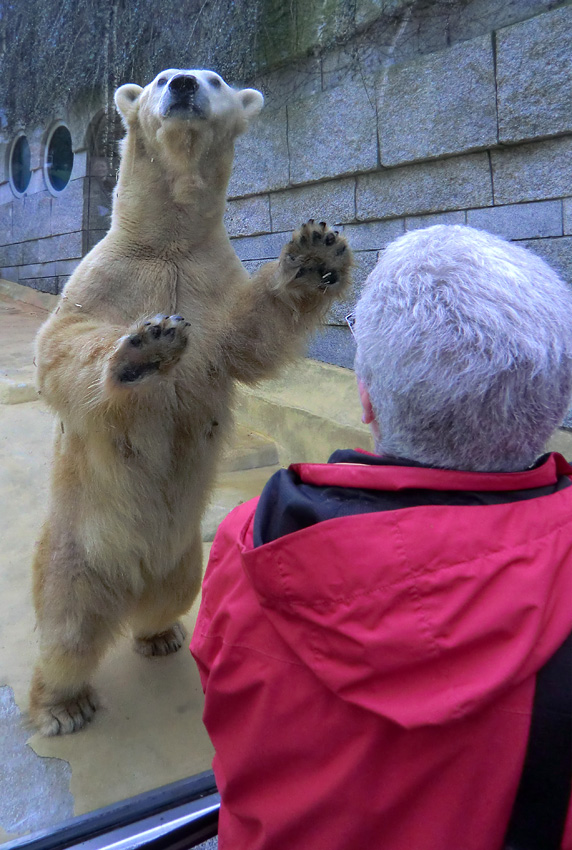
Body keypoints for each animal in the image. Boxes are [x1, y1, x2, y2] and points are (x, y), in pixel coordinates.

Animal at [30, 69, 354, 732]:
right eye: (157, 79)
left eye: (216, 79)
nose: (180, 84)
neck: (167, 244)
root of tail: (130, 581)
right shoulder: (103, 276)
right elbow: (60, 347)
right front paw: (143, 349)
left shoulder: (212, 283)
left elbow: (250, 339)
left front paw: (315, 255)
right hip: (75, 552)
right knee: (66, 626)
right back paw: (64, 705)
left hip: (182, 558)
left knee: (171, 596)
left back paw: (161, 635)